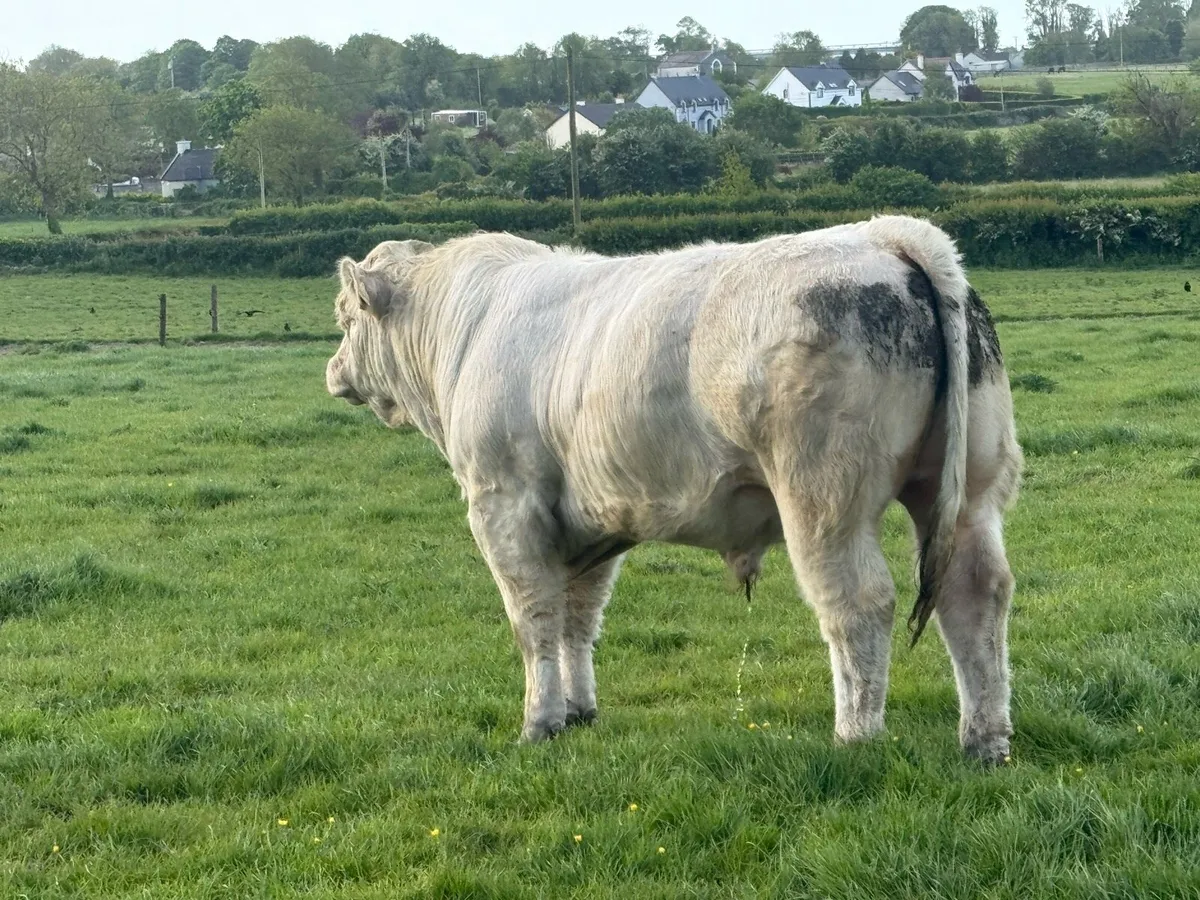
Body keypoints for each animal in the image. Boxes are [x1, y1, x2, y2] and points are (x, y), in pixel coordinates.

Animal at [326, 216, 1023, 762]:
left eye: (345, 316)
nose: (333, 369)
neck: (465, 326)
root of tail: (884, 235)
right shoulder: (589, 520)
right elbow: (580, 616)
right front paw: (579, 711)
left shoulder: (505, 503)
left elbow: (534, 620)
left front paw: (539, 722)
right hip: (970, 492)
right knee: (974, 596)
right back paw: (984, 741)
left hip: (824, 501)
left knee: (860, 605)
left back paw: (855, 737)